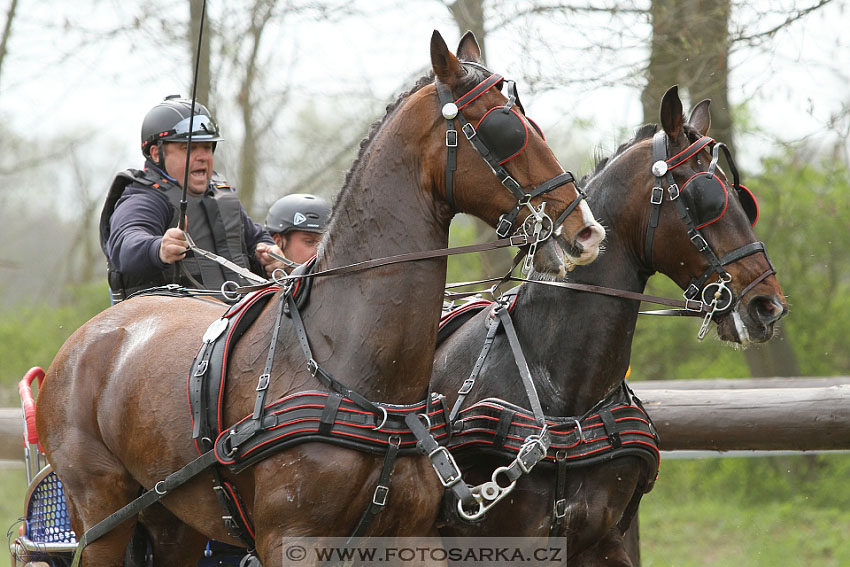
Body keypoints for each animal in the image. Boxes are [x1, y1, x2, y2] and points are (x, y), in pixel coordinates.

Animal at [33, 32, 604, 567]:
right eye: (503, 128)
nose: (586, 231)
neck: (356, 371)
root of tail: (84, 342)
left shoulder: (411, 536)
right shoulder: (292, 540)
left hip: (175, 520)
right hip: (103, 514)